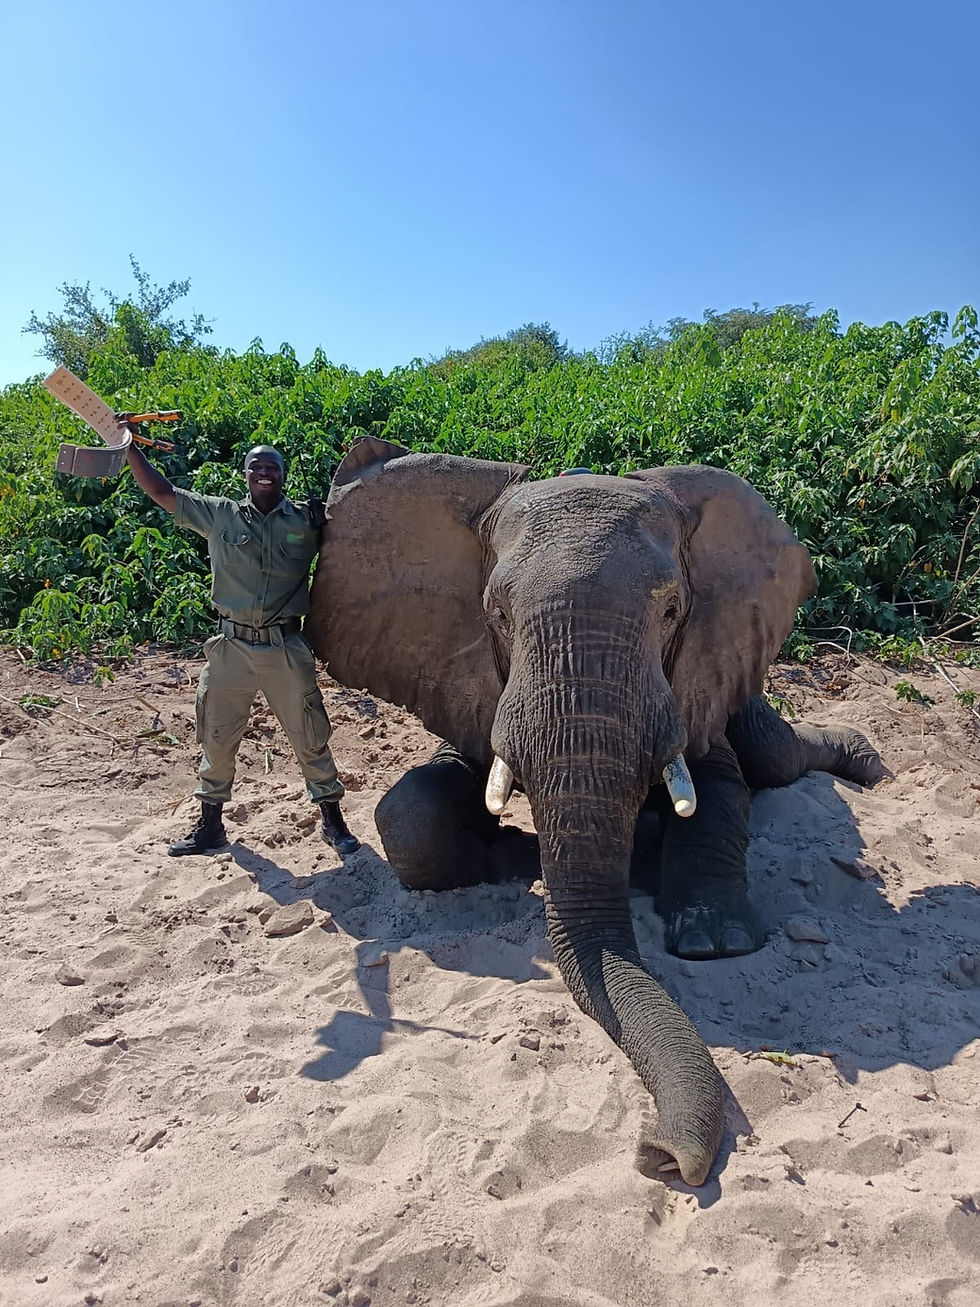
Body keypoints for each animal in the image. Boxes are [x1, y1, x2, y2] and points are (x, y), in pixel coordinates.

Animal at [306, 437, 882, 1186]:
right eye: (497, 615)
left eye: (671, 611)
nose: (658, 1153)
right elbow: (411, 813)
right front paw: (521, 855)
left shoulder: (695, 669)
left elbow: (718, 790)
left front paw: (713, 937)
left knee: (776, 755)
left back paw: (866, 761)